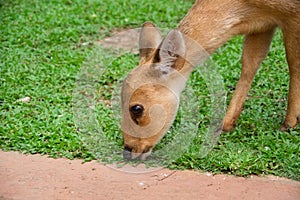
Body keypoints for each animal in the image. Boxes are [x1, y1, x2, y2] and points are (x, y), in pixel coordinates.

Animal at [120, 0, 300, 159]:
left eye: (137, 108)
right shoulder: (263, 26)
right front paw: (226, 124)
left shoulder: (292, 17)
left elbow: (293, 64)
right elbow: (250, 64)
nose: (129, 150)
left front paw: (289, 123)